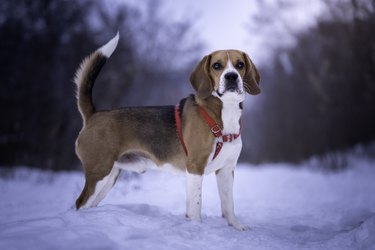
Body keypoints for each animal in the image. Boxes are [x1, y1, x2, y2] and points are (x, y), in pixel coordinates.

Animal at [74, 33, 260, 230]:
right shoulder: (195, 167)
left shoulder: (226, 170)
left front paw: (236, 226)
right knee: (80, 203)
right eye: (217, 65)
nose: (231, 76)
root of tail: (94, 114)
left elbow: (228, 204)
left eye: (240, 64)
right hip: (99, 173)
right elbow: (196, 206)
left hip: (109, 177)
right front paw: (197, 228)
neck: (224, 112)